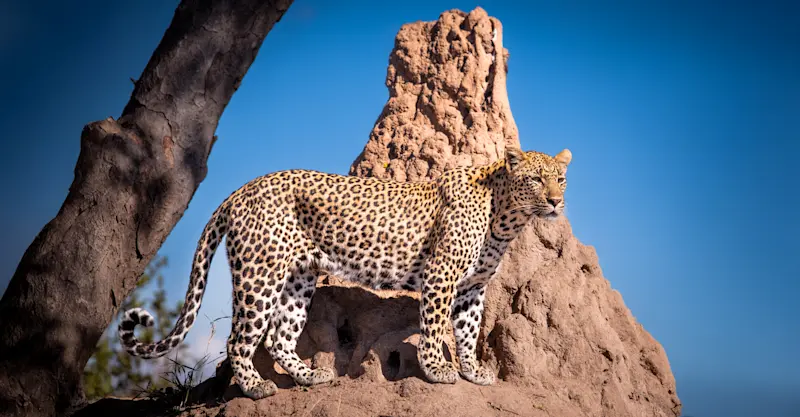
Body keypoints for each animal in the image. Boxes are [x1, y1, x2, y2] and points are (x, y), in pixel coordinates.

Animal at [119, 146, 573, 399]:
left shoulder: (472, 288)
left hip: (299, 279)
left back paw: (311, 377)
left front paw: (473, 371)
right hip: (259, 276)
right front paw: (437, 370)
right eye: (536, 179)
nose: (555, 201)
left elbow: (467, 331)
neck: (506, 218)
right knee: (239, 340)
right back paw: (255, 388)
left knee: (280, 337)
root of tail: (242, 190)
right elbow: (434, 327)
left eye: (561, 179)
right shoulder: (441, 277)